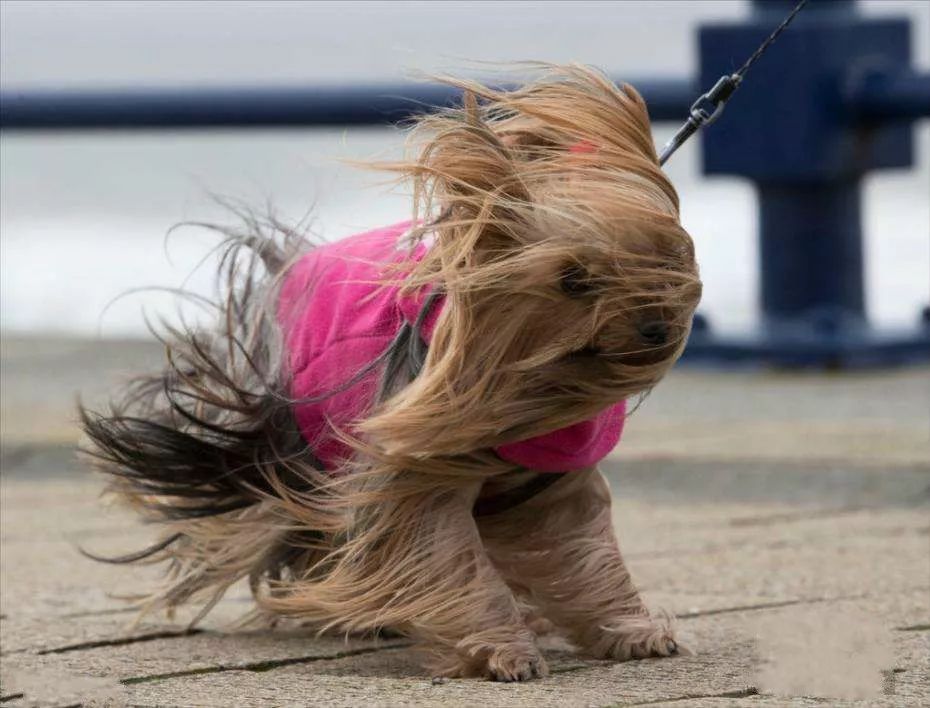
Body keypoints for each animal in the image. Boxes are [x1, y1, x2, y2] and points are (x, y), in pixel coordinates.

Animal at [81, 65, 704, 680]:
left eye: (664, 256)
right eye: (573, 279)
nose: (657, 327)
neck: (532, 385)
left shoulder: (556, 477)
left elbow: (587, 550)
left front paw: (631, 632)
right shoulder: (410, 470)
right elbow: (447, 553)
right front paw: (504, 651)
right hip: (289, 446)